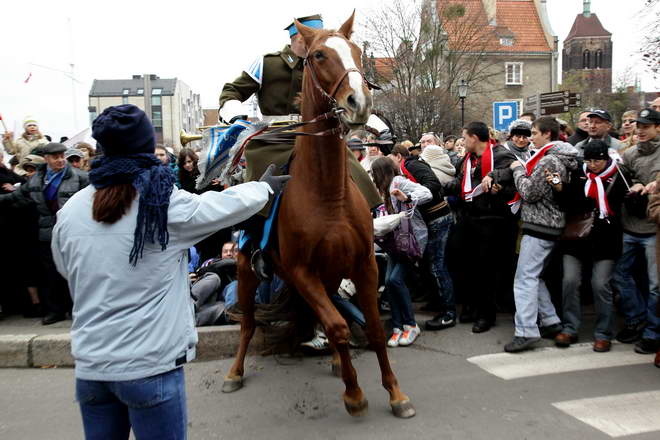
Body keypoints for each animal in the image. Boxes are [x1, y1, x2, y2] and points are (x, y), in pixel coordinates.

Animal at [224, 12, 416, 420]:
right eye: (319, 56)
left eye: (357, 51)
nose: (359, 101)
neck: (327, 195)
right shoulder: (302, 272)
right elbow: (339, 326)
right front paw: (354, 394)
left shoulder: (363, 264)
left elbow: (373, 329)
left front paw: (395, 394)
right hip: (248, 270)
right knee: (248, 324)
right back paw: (235, 372)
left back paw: (334, 361)